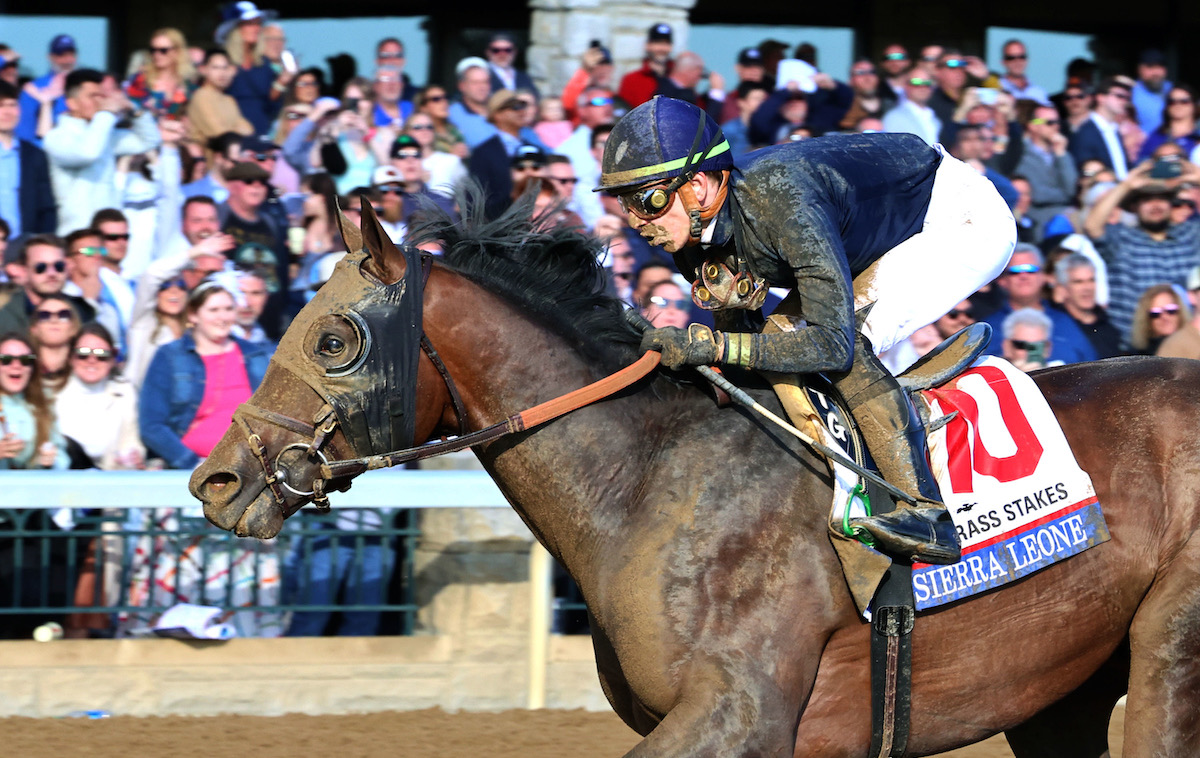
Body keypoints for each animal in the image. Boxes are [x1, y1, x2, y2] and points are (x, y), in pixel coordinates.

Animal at [192, 201, 1200, 758]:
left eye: (334, 338)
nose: (217, 480)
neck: (647, 481)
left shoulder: (739, 712)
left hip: (1167, 646)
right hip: (1062, 685)